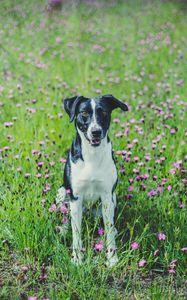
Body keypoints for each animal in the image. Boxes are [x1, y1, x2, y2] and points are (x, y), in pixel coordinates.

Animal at [56, 94, 128, 268]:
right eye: (84, 113)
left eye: (104, 113)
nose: (96, 132)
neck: (92, 155)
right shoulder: (75, 198)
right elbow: (76, 234)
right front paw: (77, 259)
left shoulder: (107, 196)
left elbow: (109, 232)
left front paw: (112, 259)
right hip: (62, 193)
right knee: (66, 218)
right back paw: (64, 228)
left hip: (112, 200)